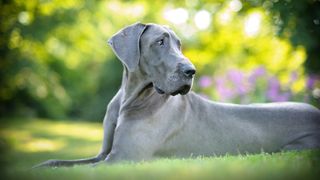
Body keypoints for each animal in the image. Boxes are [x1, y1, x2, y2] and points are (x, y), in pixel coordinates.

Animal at [35, 22, 320, 167]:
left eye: (179, 44)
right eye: (160, 42)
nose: (191, 70)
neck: (130, 98)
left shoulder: (121, 159)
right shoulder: (103, 154)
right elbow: (56, 163)